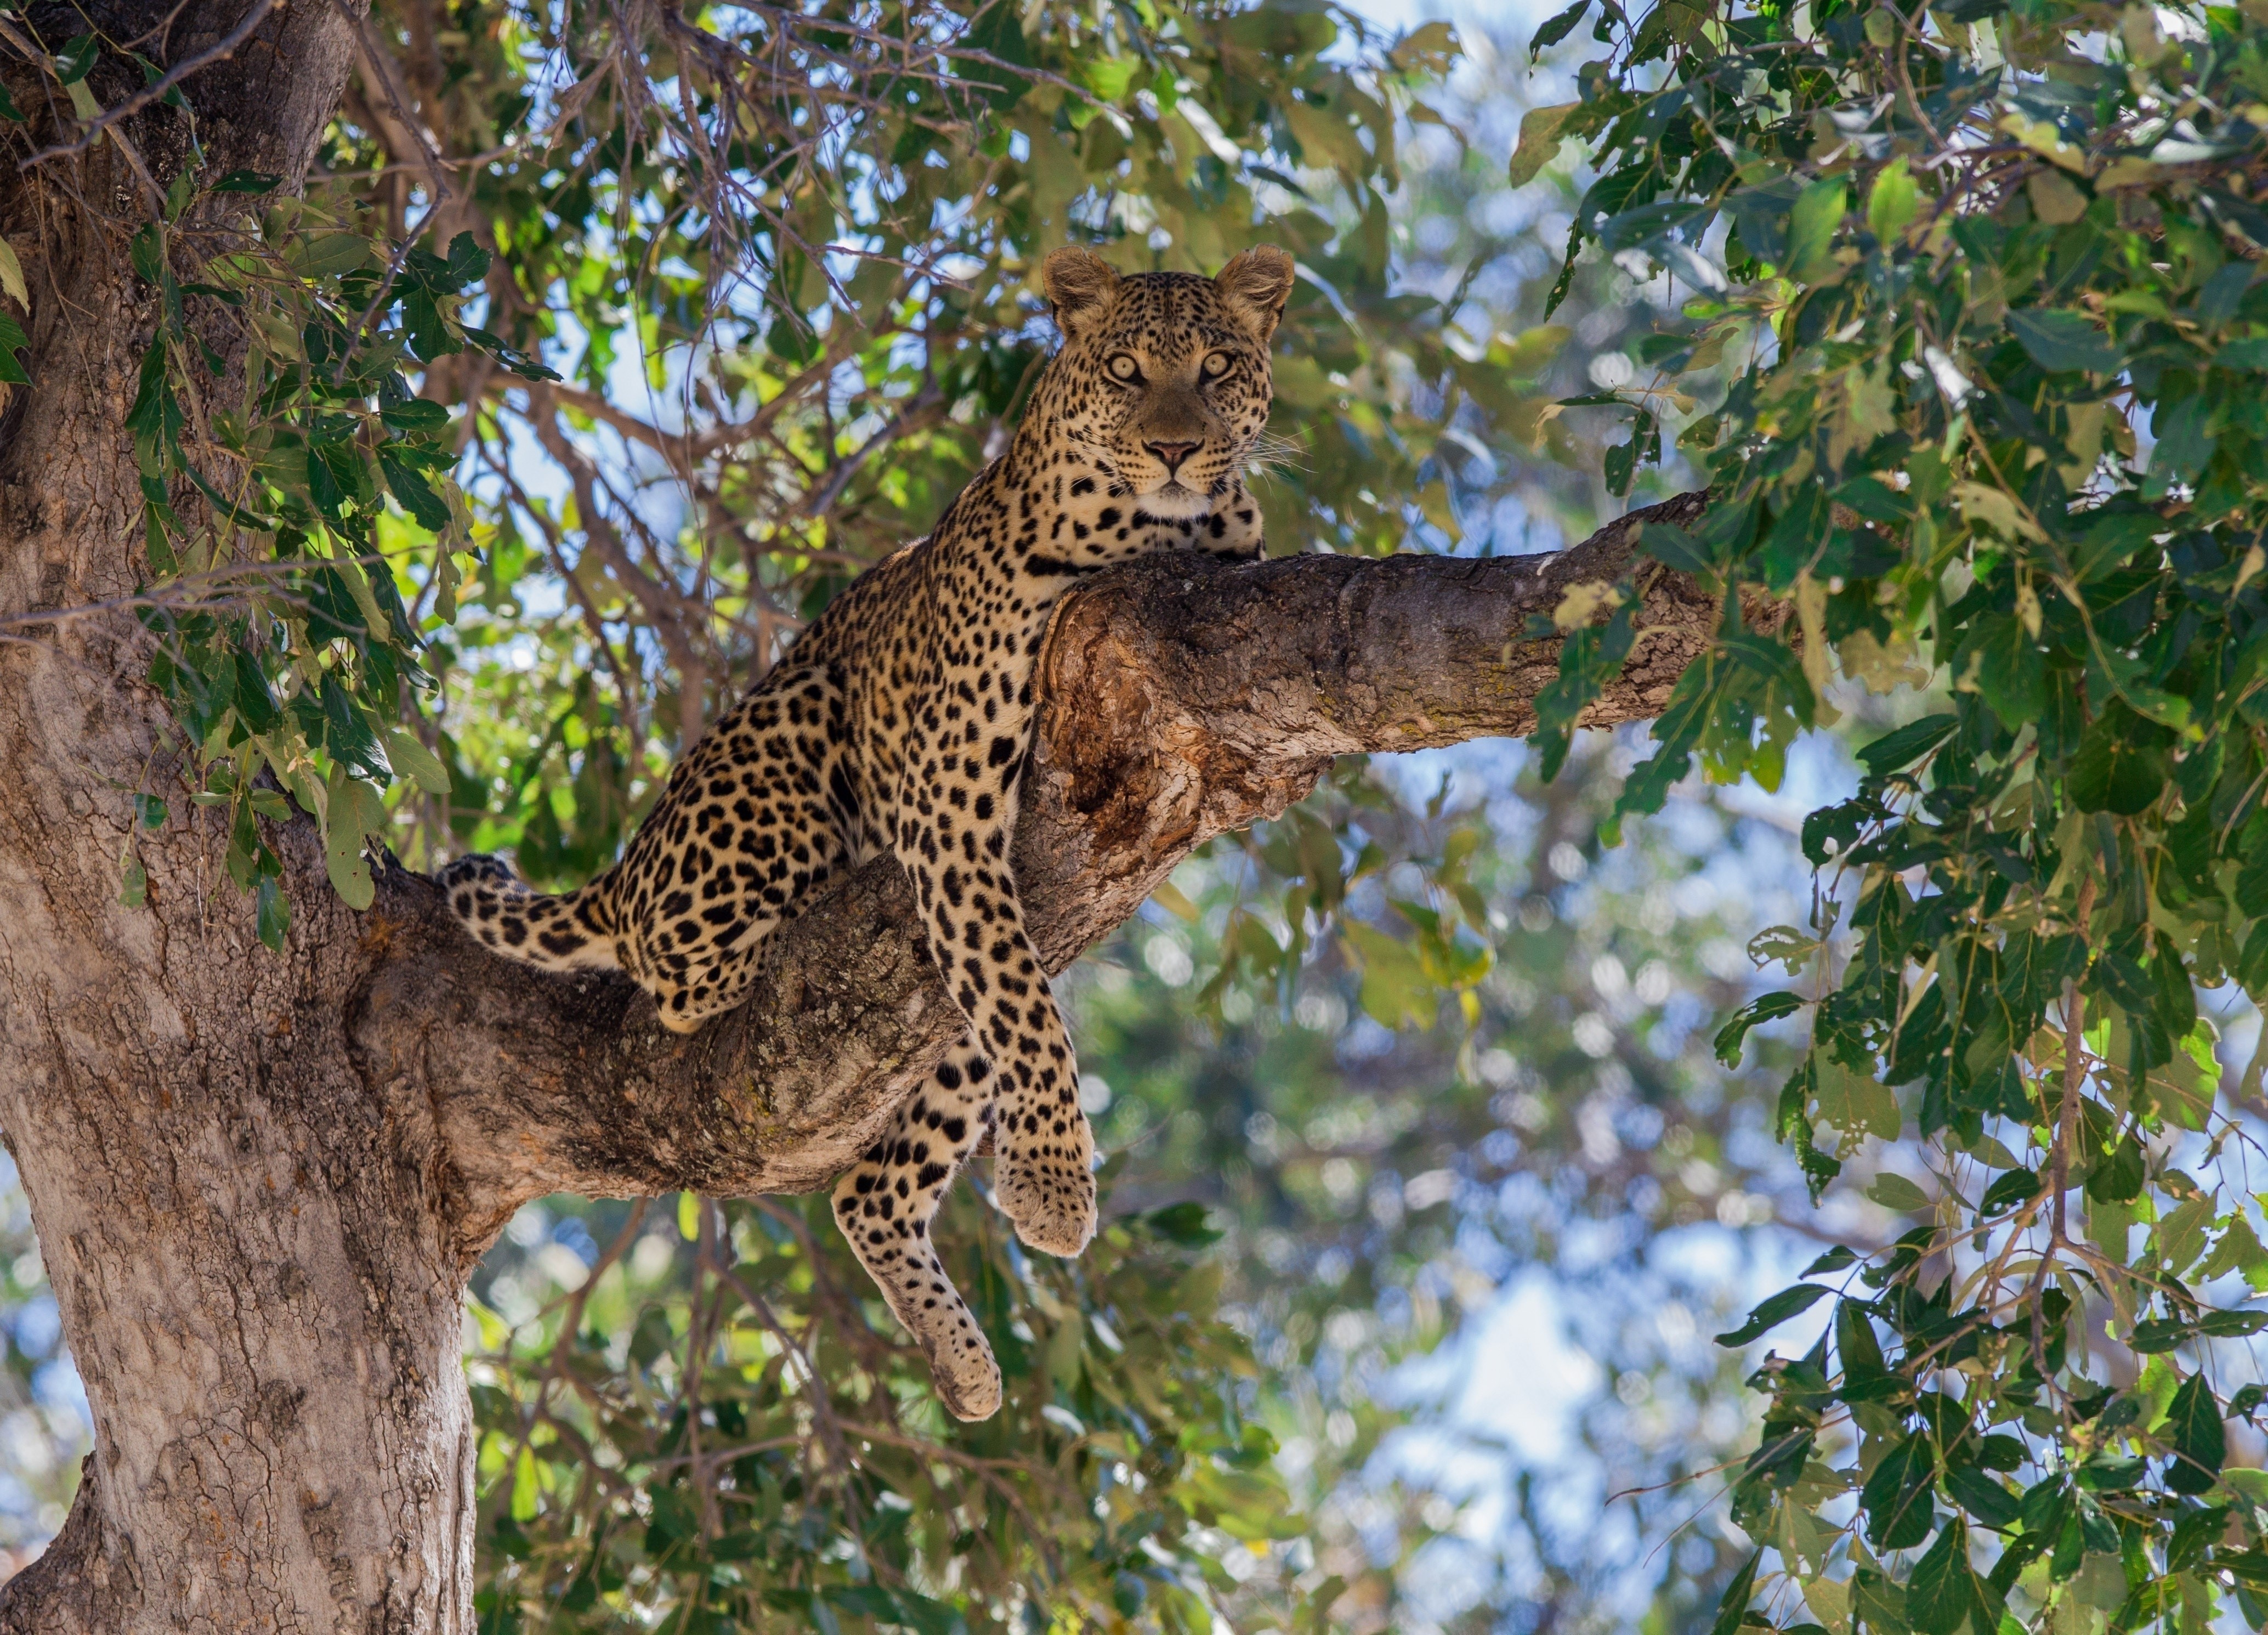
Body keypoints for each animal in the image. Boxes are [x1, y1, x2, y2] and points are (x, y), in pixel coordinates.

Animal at [440, 244, 1295, 1421]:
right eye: (1126, 371)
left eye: (1216, 368)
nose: (1174, 448)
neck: (1164, 530)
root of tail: (627, 862)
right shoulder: (947, 802)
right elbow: (1032, 1016)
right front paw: (1053, 1188)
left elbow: (1022, 1009)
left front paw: (1040, 1187)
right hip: (791, 745)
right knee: (681, 979)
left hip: (944, 1017)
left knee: (872, 1185)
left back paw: (962, 1363)